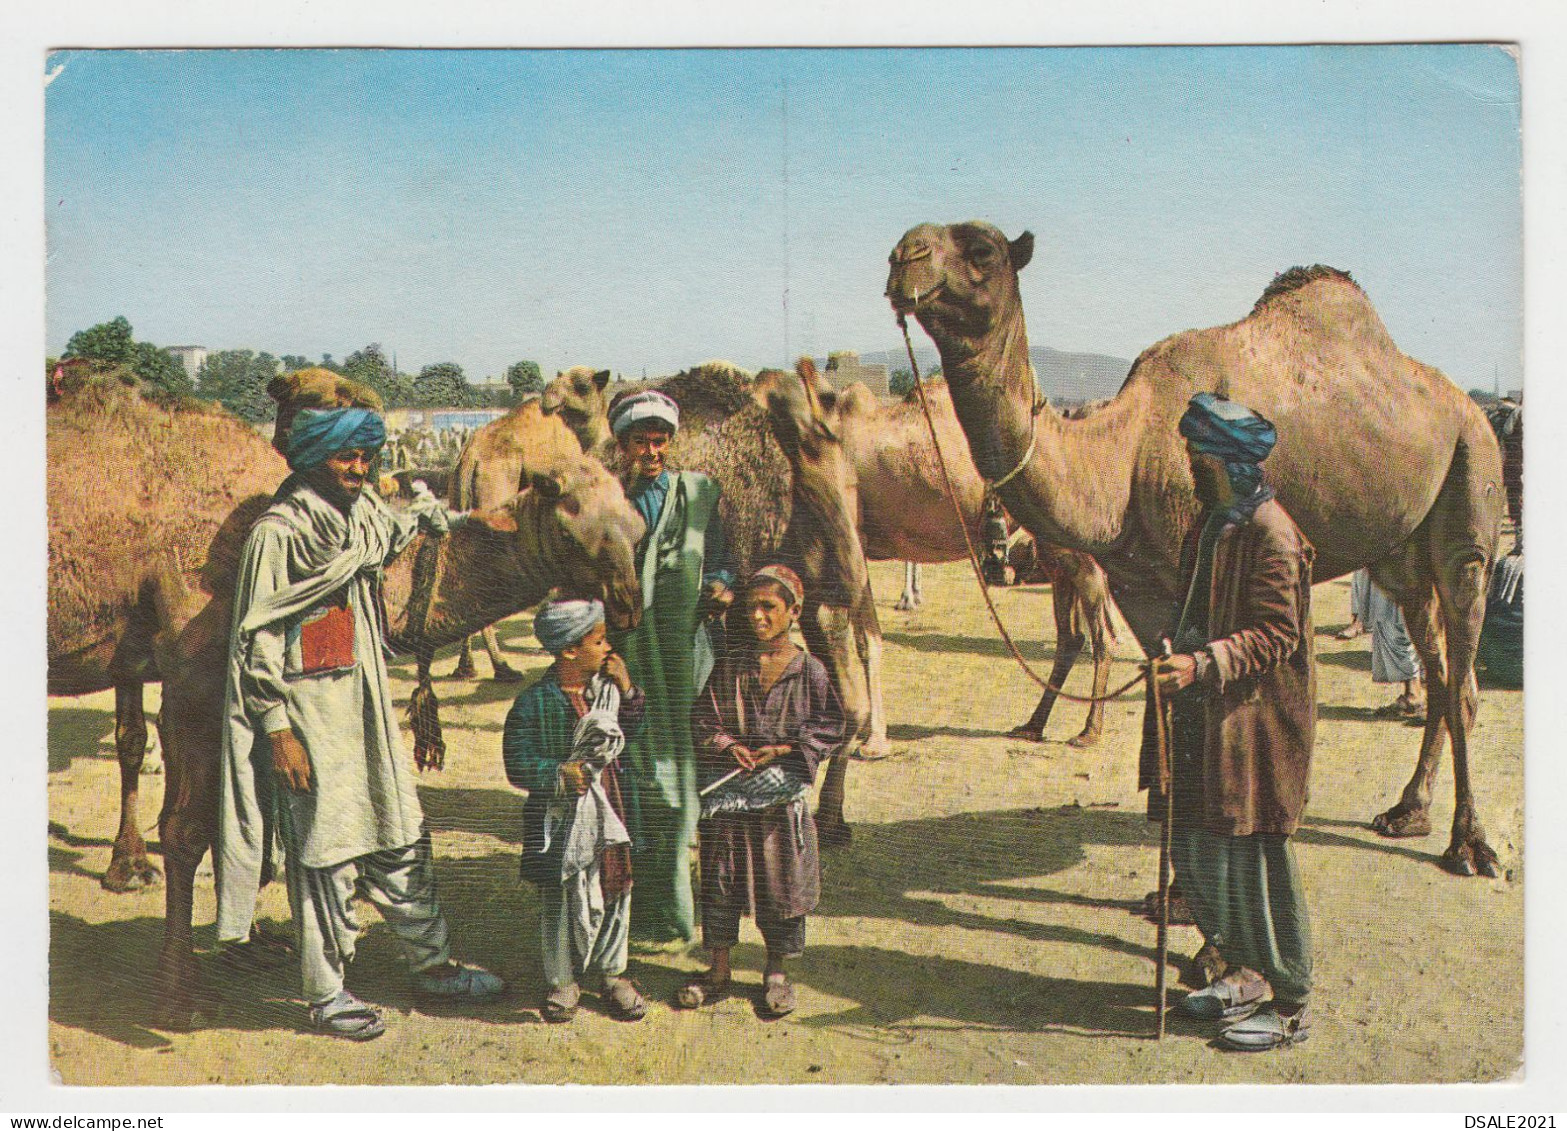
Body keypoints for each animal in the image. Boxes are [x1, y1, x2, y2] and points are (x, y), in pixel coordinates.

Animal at [808, 372, 1115, 748]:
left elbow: (854, 636)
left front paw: (871, 740)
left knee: (1102, 636)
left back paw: (1089, 731)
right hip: (1055, 554)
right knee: (1070, 636)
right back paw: (1032, 725)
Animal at [890, 217, 1498, 870]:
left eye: (982, 251)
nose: (904, 255)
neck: (1123, 456)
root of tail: (1471, 407)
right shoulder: (1137, 585)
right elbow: (1166, 698)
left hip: (1472, 476)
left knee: (1462, 658)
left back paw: (1469, 845)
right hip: (1402, 555)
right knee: (1440, 672)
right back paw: (1408, 812)